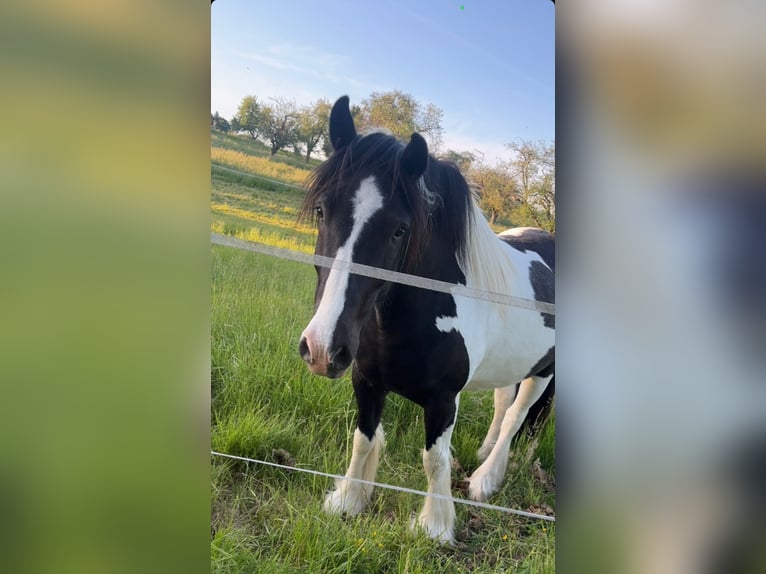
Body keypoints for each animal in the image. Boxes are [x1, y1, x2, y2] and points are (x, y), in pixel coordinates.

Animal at [297, 96, 555, 543]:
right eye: (321, 210)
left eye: (400, 229)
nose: (322, 348)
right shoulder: (365, 381)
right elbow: (362, 440)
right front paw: (349, 501)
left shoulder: (442, 402)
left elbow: (435, 460)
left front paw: (434, 527)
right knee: (503, 402)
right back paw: (484, 452)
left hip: (543, 370)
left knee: (518, 414)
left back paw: (486, 478)